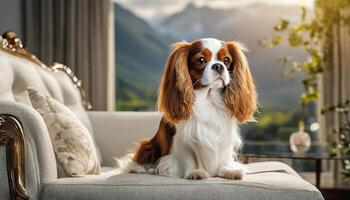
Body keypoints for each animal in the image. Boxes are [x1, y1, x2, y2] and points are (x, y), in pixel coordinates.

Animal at [117, 37, 258, 180]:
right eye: (201, 60)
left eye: (226, 60)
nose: (218, 66)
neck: (208, 99)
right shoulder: (183, 141)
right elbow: (187, 159)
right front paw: (194, 172)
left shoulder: (224, 139)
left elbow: (223, 160)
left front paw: (229, 171)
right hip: (147, 146)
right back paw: (150, 169)